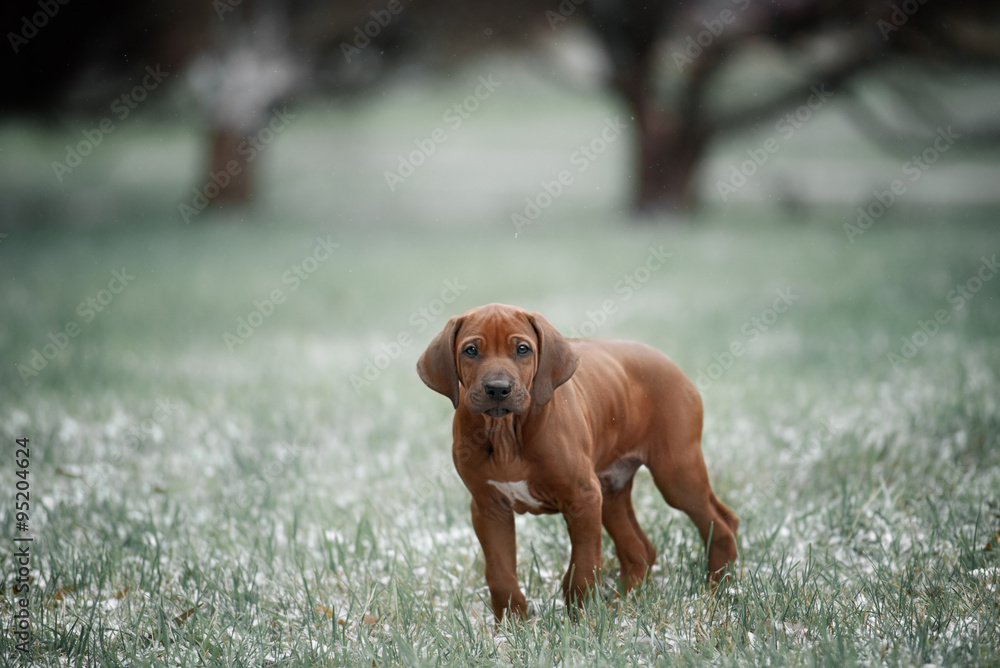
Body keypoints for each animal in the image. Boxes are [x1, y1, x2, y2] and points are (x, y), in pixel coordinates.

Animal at [418, 302, 740, 620]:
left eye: (522, 349)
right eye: (471, 350)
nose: (498, 389)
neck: (506, 433)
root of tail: (670, 362)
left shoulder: (582, 498)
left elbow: (583, 567)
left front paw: (581, 621)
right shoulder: (489, 508)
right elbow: (500, 575)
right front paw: (511, 627)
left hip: (675, 474)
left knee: (721, 525)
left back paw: (716, 592)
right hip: (610, 491)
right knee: (641, 550)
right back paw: (625, 604)